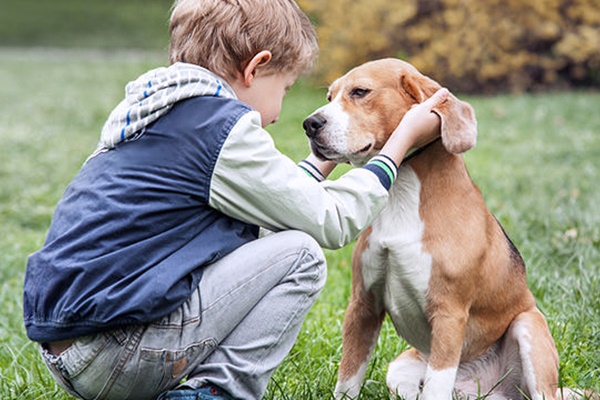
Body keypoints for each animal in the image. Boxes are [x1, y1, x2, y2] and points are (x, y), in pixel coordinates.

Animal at [302, 58, 588, 400]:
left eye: (360, 92)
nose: (310, 124)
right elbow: (348, 378)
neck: (401, 193)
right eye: (330, 97)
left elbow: (436, 384)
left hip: (528, 328)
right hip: (399, 369)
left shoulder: (449, 313)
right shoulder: (362, 305)